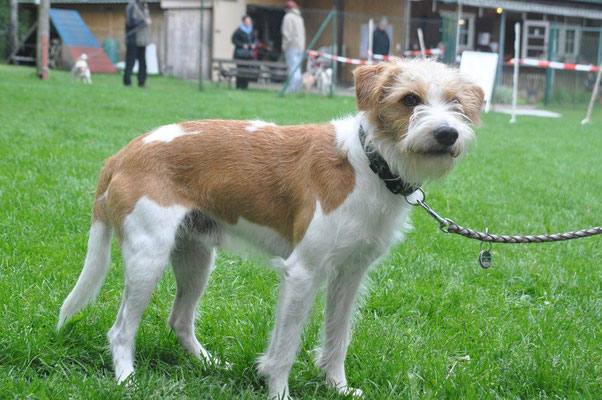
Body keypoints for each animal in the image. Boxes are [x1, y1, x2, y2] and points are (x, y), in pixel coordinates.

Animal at [57, 57, 482, 398]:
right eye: (410, 99)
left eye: (456, 103)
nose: (447, 134)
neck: (368, 163)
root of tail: (122, 154)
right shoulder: (303, 273)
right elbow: (286, 347)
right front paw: (278, 391)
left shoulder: (349, 275)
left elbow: (338, 338)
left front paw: (338, 387)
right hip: (148, 259)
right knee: (121, 330)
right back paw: (127, 379)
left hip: (196, 258)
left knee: (179, 320)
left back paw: (209, 364)